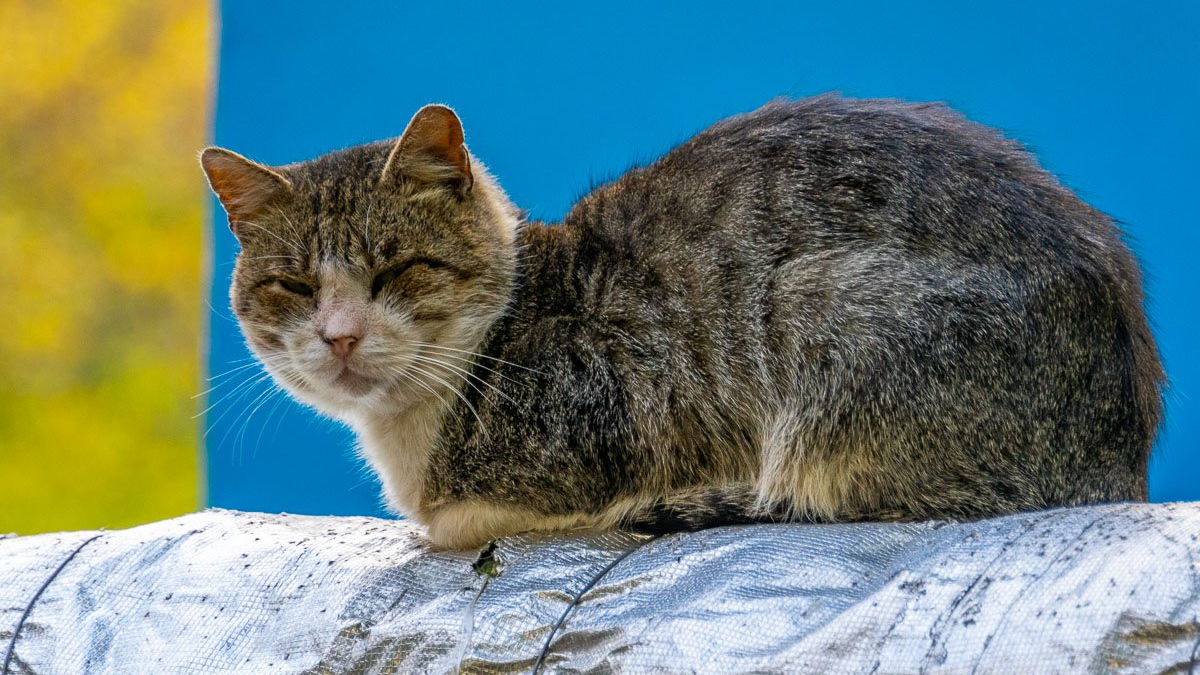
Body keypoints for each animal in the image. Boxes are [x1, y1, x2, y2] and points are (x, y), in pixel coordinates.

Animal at [204, 94, 1161, 547]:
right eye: (293, 285)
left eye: (397, 268)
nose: (339, 334)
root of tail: (1121, 455)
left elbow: (468, 519)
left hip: (815, 301)